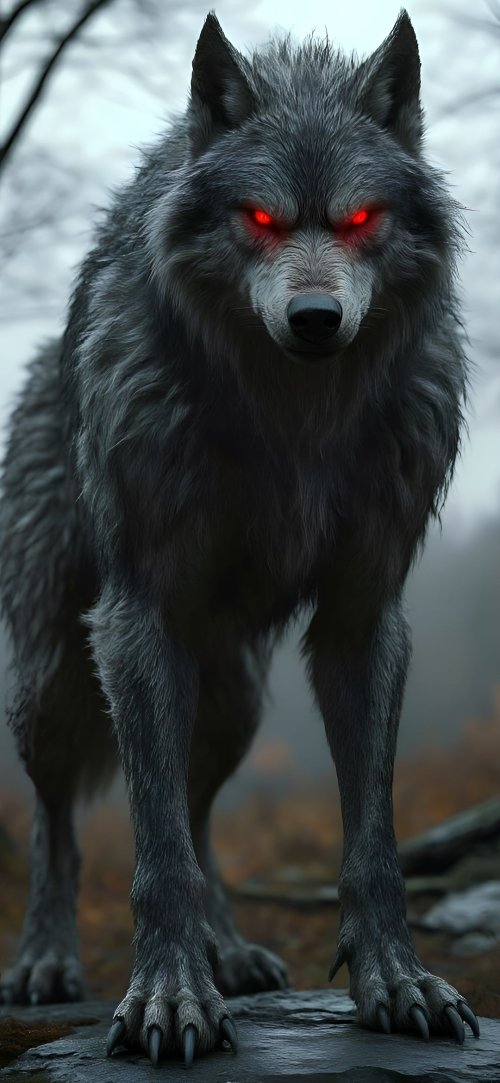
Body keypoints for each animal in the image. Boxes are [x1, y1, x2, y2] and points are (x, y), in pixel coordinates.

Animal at [0, 7, 480, 1066]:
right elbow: (154, 850)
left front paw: (397, 982)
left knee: (200, 807)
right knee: (63, 822)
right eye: (259, 219)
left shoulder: (363, 614)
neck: (295, 416)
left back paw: (228, 948)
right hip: (55, 683)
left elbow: (372, 841)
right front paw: (170, 995)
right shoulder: (137, 615)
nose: (316, 319)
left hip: (234, 703)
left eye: (359, 219)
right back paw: (48, 959)